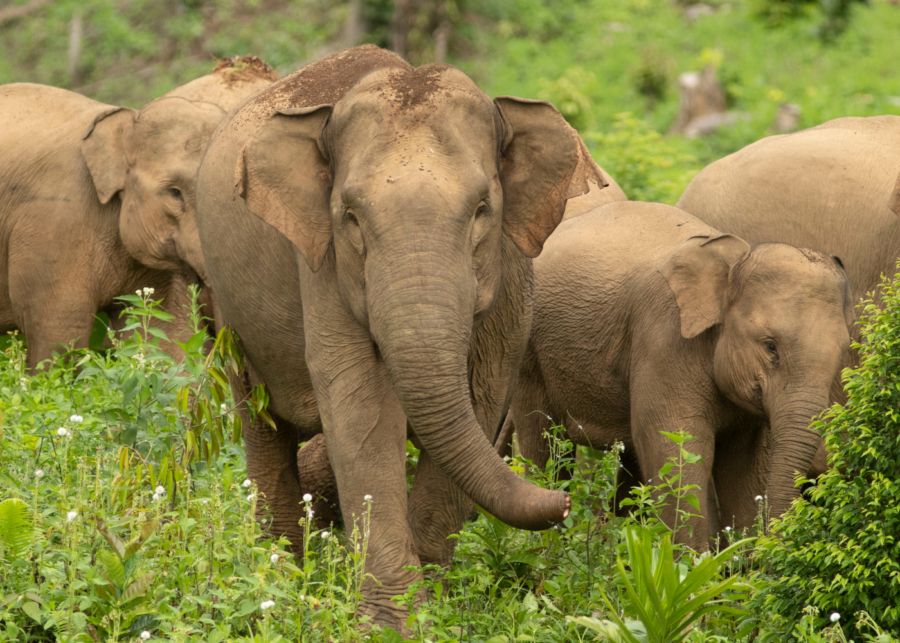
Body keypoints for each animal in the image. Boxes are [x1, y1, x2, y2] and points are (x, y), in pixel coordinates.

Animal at [196, 44, 601, 630]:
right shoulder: (324, 266)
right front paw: (392, 623)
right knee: (262, 426)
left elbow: (482, 393)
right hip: (226, 309)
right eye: (350, 216)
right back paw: (280, 583)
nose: (563, 503)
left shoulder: (511, 271)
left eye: (482, 209)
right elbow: (362, 405)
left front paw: (437, 606)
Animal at [502, 201, 852, 550]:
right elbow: (675, 451)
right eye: (770, 347)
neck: (735, 259)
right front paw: (694, 563)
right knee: (545, 445)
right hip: (529, 351)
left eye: (843, 351)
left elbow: (744, 466)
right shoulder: (664, 340)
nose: (770, 544)